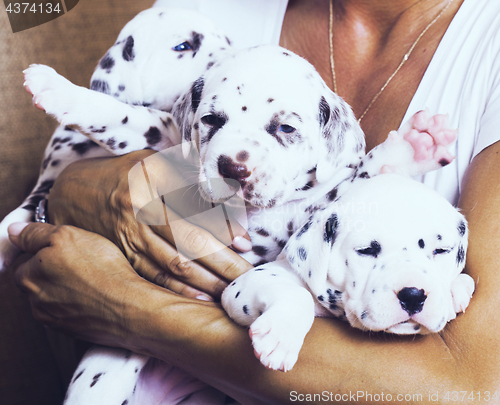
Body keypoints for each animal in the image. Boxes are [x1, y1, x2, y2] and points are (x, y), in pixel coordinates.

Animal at [0, 5, 232, 268]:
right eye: (183, 46)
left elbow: (122, 113)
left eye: (229, 42)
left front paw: (60, 90)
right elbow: (15, 216)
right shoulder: (46, 182)